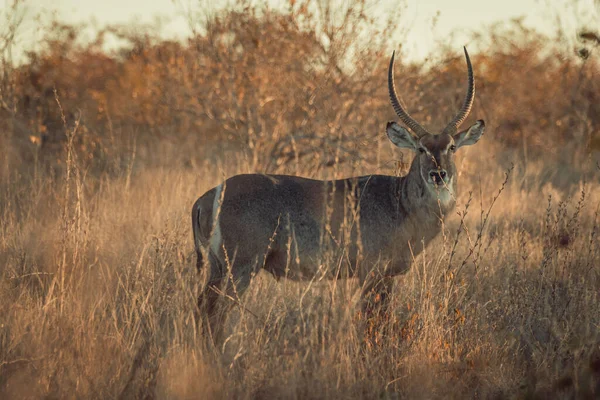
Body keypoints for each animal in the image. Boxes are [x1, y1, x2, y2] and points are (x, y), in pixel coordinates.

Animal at [192, 47, 482, 340]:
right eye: (421, 149)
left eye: (452, 147)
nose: (438, 174)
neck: (400, 203)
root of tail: (207, 197)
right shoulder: (372, 273)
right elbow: (374, 321)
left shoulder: (385, 275)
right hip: (240, 266)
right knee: (215, 312)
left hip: (218, 267)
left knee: (202, 306)